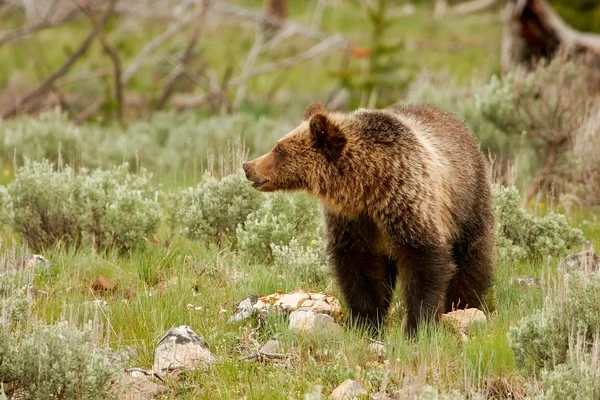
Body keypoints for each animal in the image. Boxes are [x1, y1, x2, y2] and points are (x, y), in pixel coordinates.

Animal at [241, 102, 494, 334]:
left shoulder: (409, 204)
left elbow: (425, 263)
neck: (368, 189)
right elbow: (359, 270)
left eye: (279, 150)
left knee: (471, 259)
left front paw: (417, 326)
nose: (248, 166)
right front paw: (367, 322)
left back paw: (463, 304)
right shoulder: (352, 222)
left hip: (467, 202)